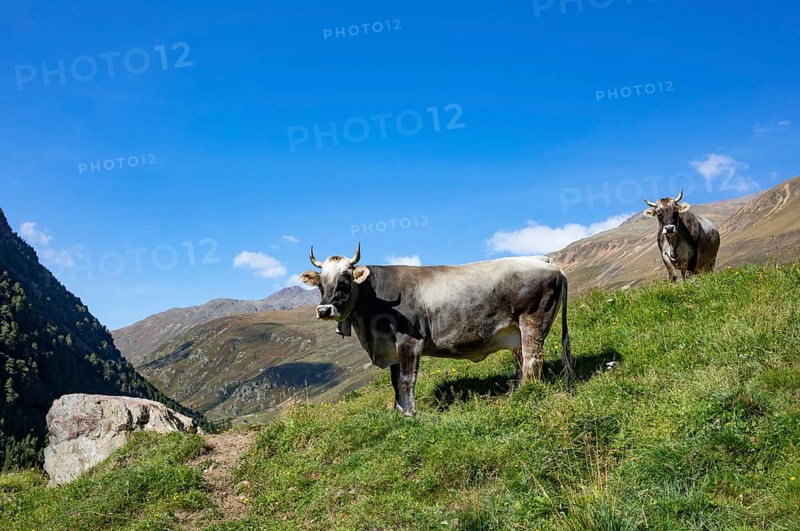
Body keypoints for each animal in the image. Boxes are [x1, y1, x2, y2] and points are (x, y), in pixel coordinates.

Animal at [300, 244, 574, 417]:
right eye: (321, 285)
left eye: (345, 283)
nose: (324, 310)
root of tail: (544, 261)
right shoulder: (391, 347)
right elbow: (395, 382)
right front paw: (398, 411)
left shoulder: (410, 341)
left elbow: (407, 379)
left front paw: (410, 413)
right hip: (514, 331)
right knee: (521, 361)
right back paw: (514, 392)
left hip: (533, 321)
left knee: (532, 360)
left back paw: (526, 393)